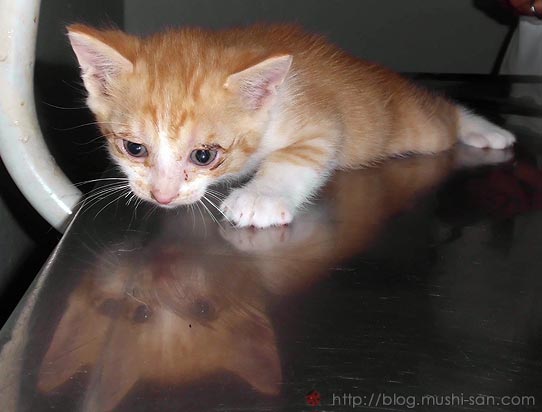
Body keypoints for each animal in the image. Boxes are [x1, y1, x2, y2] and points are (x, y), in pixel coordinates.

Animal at [66, 23, 516, 229]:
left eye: (204, 155)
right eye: (134, 149)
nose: (161, 196)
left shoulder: (321, 120)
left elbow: (300, 155)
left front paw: (259, 198)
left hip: (414, 128)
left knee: (443, 113)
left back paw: (486, 130)